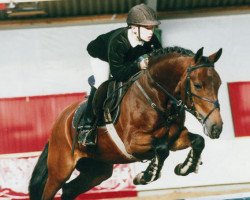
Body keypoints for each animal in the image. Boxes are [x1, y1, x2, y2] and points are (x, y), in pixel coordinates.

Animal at [28, 46, 223, 199]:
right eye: (198, 85)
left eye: (219, 84)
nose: (216, 128)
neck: (156, 97)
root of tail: (59, 123)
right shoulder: (133, 144)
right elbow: (161, 149)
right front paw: (146, 175)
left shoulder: (175, 138)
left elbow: (197, 141)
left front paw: (186, 167)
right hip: (60, 171)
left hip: (98, 170)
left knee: (69, 190)